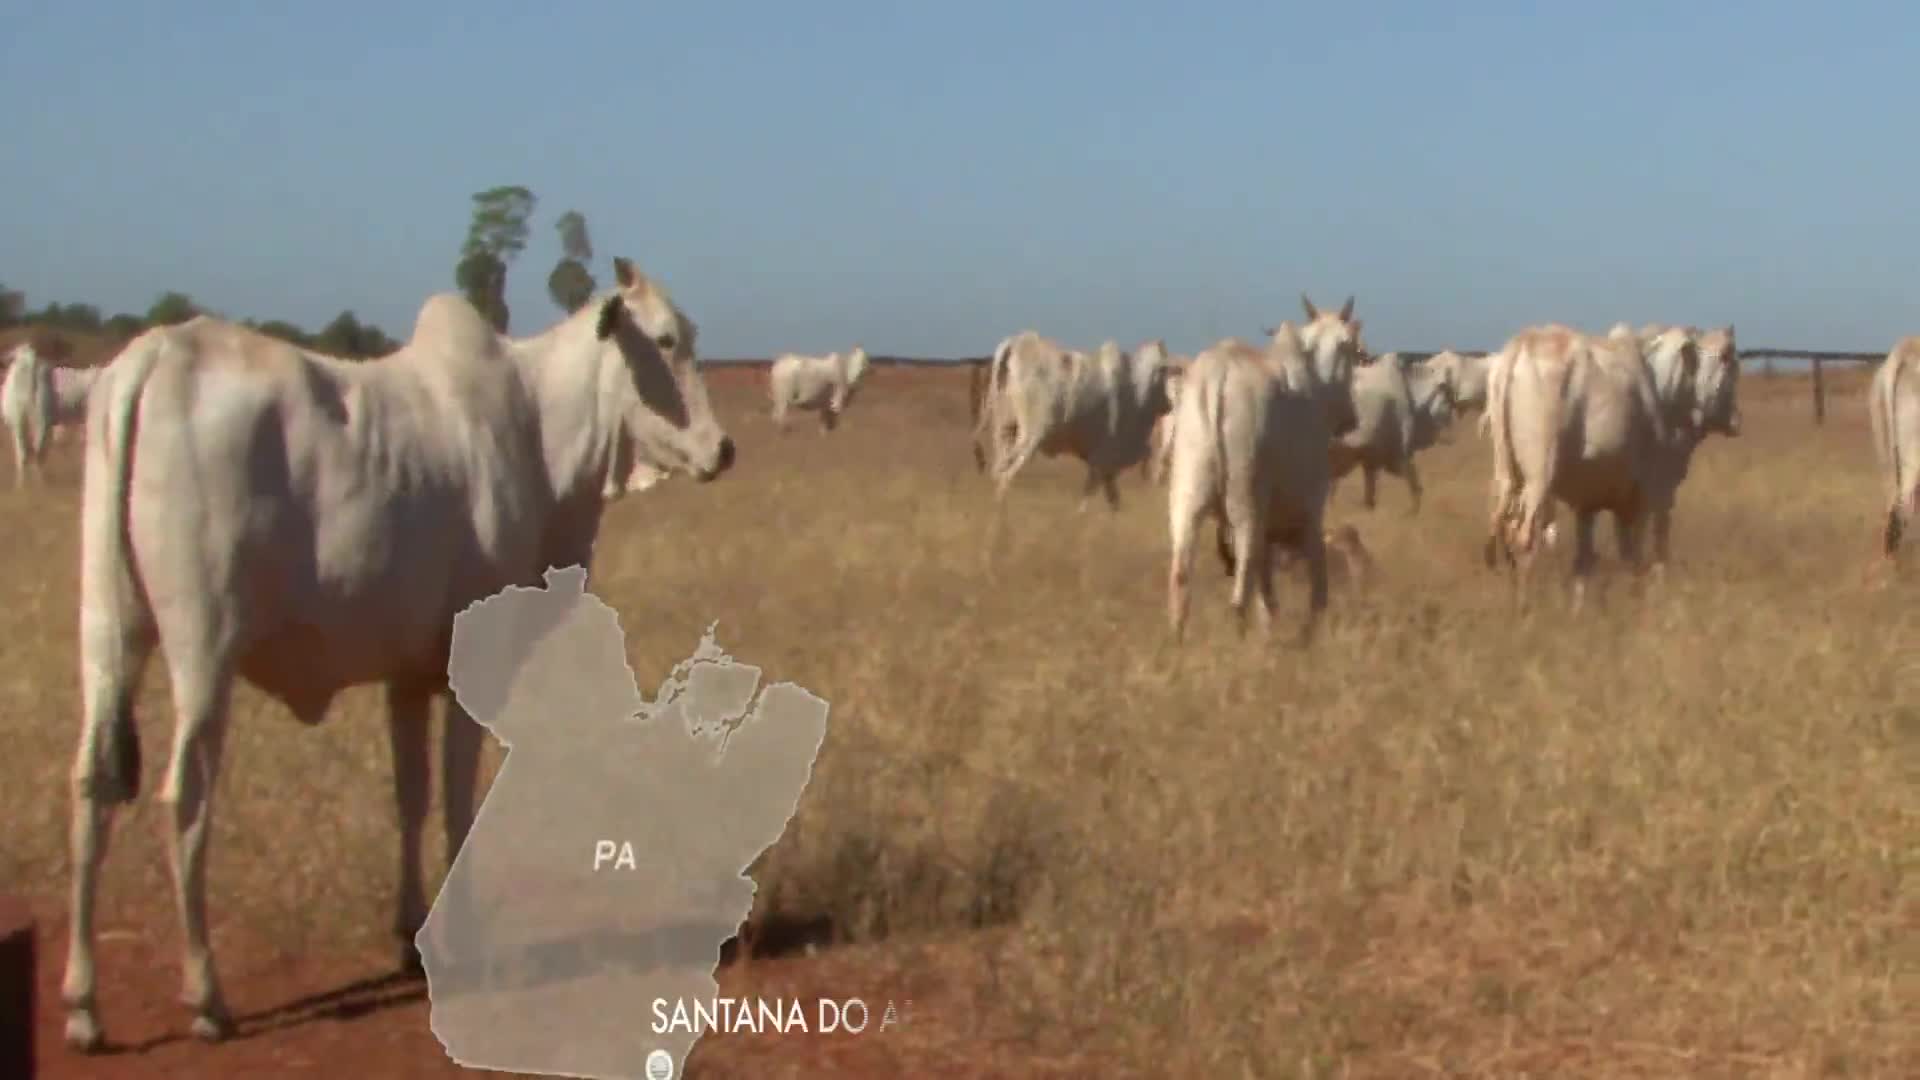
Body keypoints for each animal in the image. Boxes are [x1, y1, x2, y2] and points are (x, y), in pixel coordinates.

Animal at [61, 255, 733, 1045]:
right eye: (664, 340)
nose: (723, 448)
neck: (538, 429)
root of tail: (152, 357)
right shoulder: (472, 667)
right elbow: (456, 799)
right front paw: (465, 936)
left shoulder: (407, 677)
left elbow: (410, 797)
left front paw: (410, 934)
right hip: (204, 652)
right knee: (186, 799)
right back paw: (206, 994)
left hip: (109, 636)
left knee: (92, 784)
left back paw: (83, 1004)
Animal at [975, 332, 1167, 507]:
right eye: (1164, 373)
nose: (1169, 404)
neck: (1137, 391)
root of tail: (1015, 343)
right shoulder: (1103, 457)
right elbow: (1089, 497)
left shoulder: (1104, 464)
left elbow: (1112, 499)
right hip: (1030, 438)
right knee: (1005, 473)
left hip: (1005, 430)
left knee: (998, 469)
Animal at [1328, 349, 1459, 507]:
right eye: (1448, 400)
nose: (1452, 425)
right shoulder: (1399, 454)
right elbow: (1415, 486)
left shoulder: (1370, 458)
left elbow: (1369, 496)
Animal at [1482, 319, 1743, 607]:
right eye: (1729, 360)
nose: (1736, 420)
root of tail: (1521, 344)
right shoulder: (1648, 496)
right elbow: (1642, 556)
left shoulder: (1589, 504)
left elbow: (1585, 561)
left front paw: (1578, 609)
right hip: (1539, 480)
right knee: (1524, 539)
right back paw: (1525, 609)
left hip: (1507, 477)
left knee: (1506, 534)